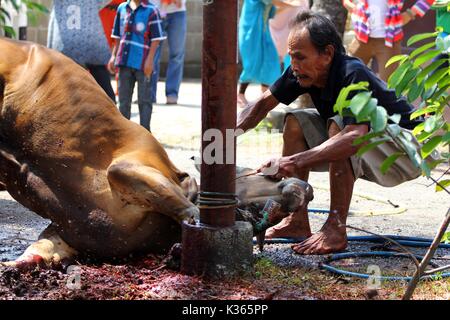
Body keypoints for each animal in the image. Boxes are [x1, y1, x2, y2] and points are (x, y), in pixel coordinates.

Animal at [0, 38, 312, 270]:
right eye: (267, 175)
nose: (304, 189)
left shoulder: (65, 234)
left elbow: (40, 249)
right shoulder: (130, 168)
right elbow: (179, 203)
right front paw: (193, 220)